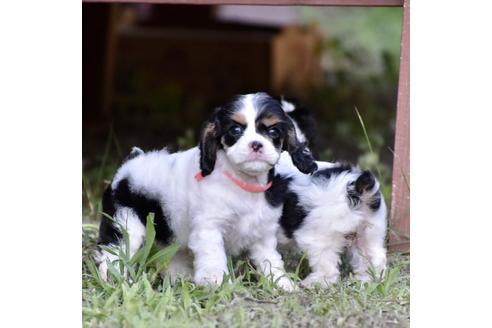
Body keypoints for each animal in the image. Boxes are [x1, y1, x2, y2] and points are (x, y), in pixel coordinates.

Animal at [96, 91, 318, 290]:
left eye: (273, 132)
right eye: (235, 130)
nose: (256, 144)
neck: (243, 182)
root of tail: (130, 162)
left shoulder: (263, 233)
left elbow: (269, 259)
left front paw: (281, 283)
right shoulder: (209, 228)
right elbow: (214, 258)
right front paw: (217, 283)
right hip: (124, 224)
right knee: (113, 254)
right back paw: (113, 281)